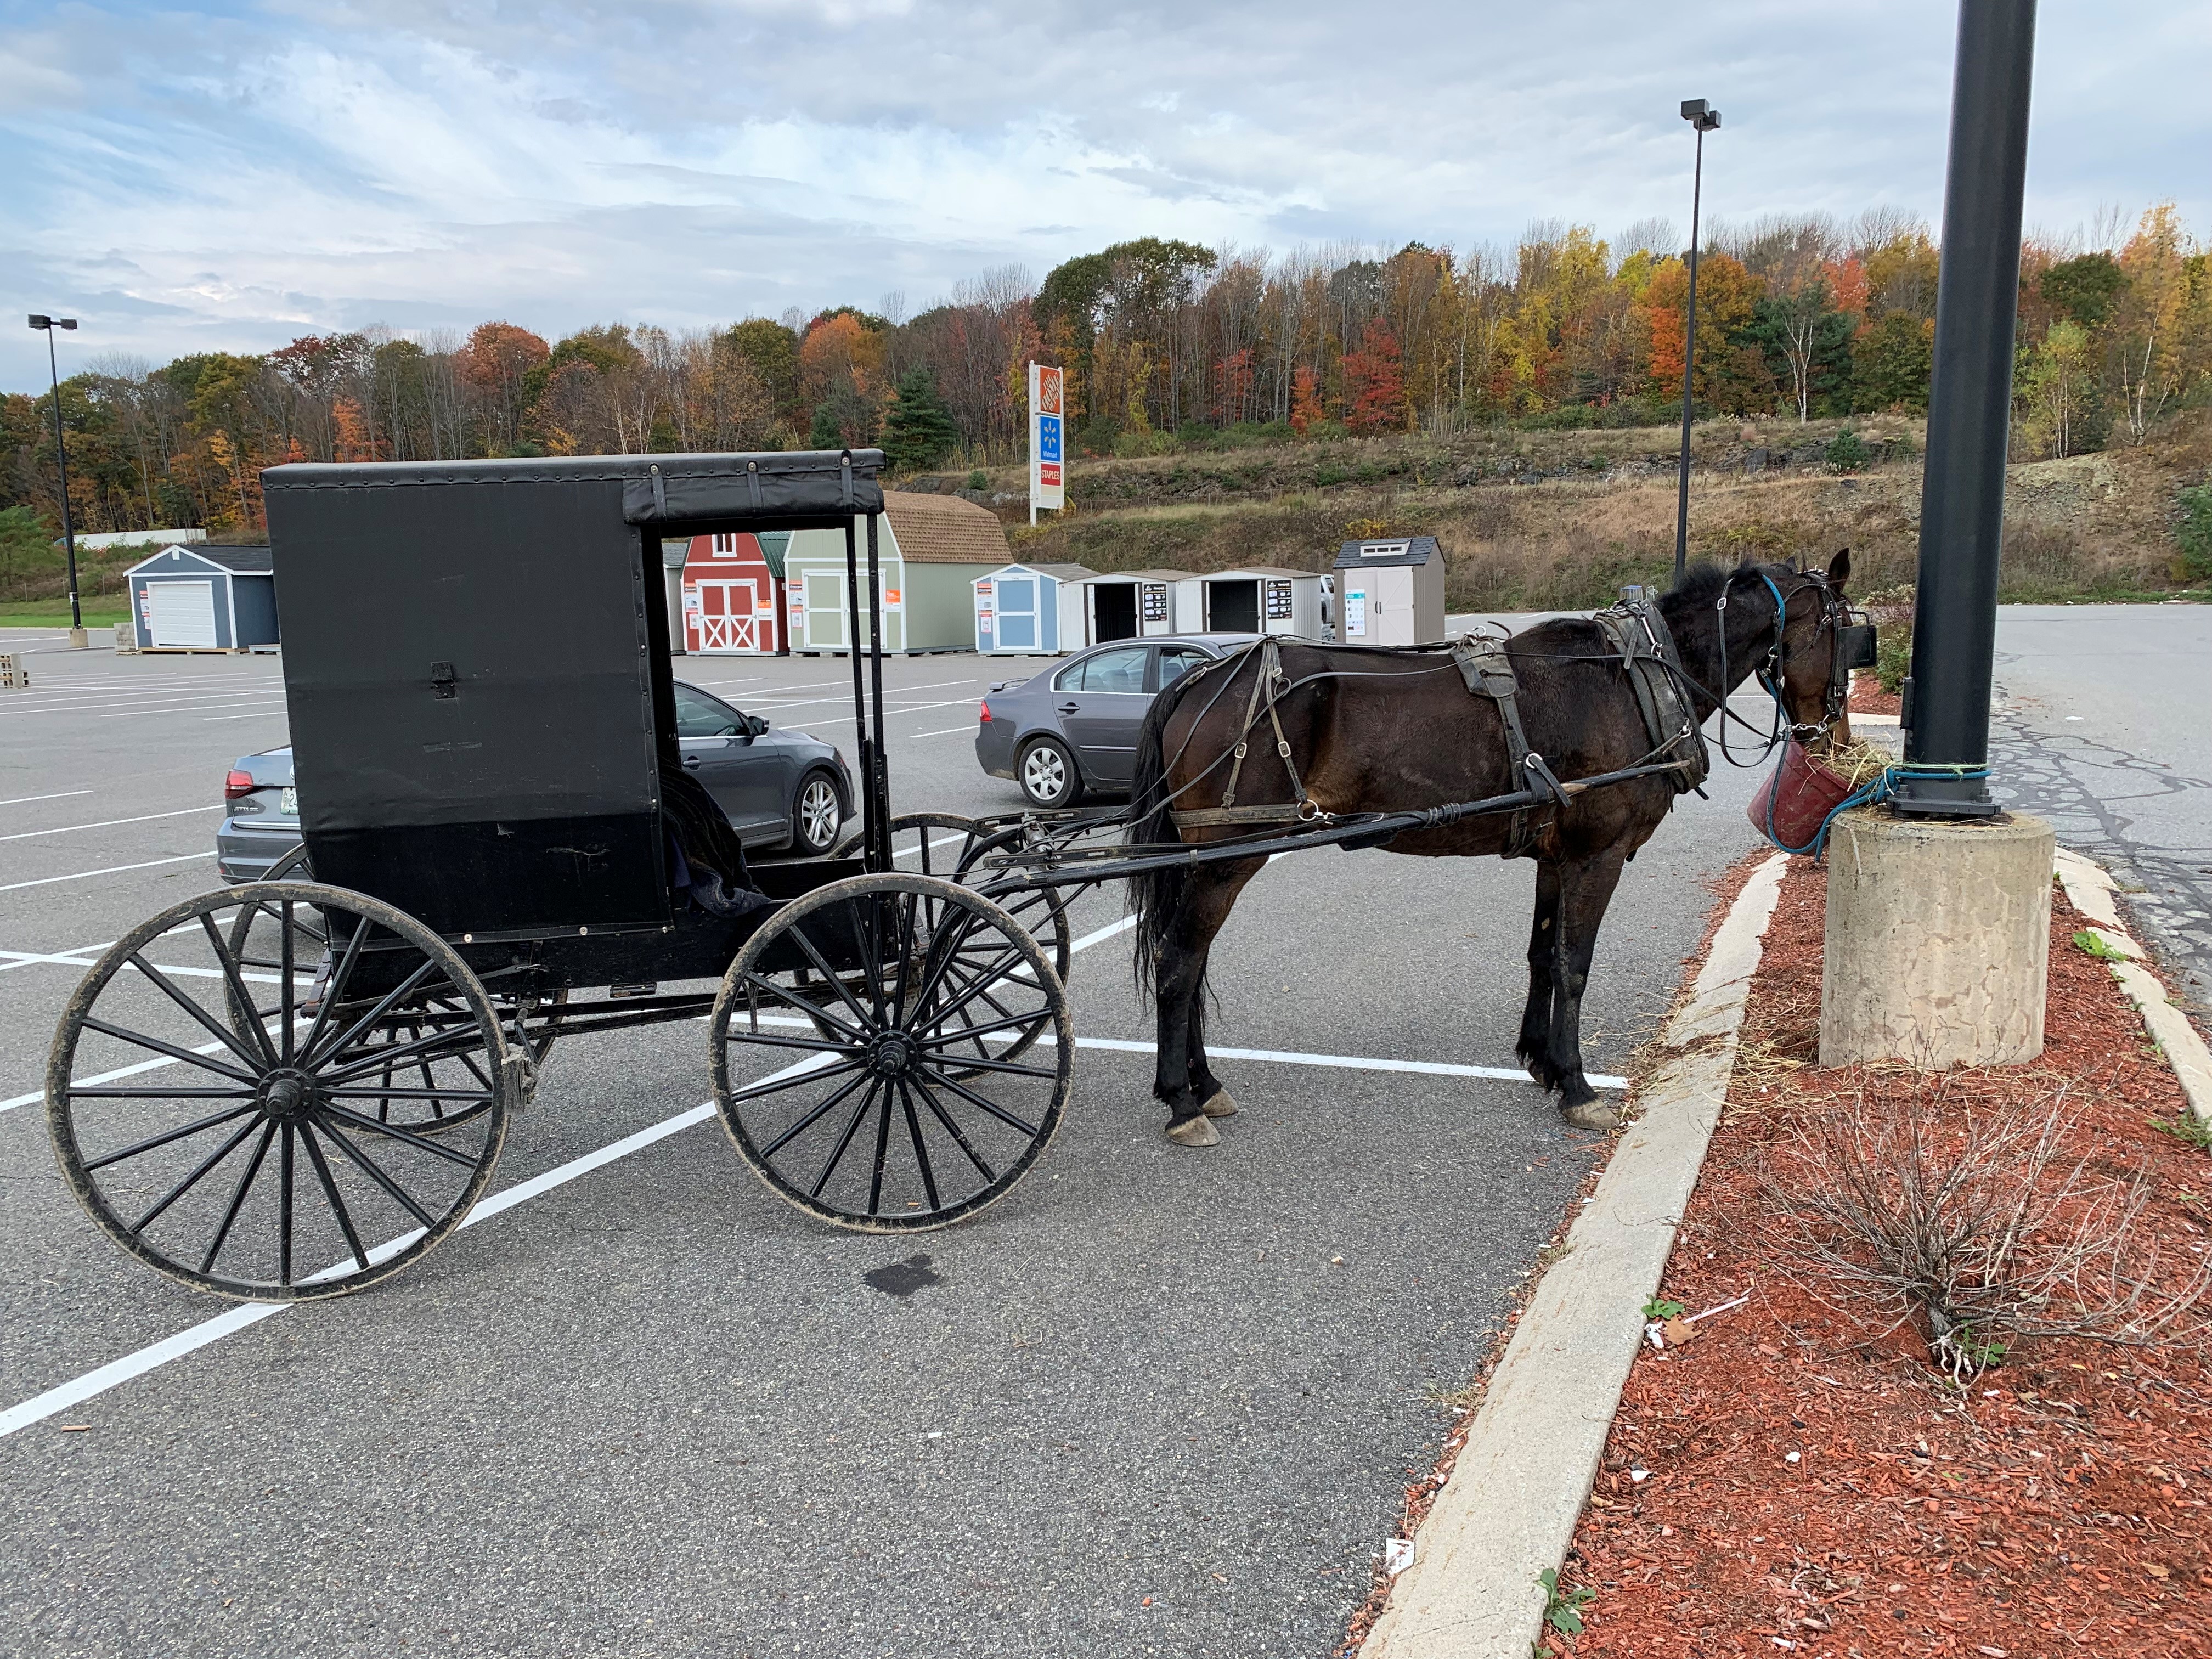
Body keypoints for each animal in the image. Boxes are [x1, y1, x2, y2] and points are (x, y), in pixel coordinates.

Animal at [1132, 555, 1858, 1141]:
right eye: (1847, 634)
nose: (1835, 737)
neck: (1634, 679)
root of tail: (1201, 679)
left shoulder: (1556, 858)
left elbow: (1542, 957)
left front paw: (1542, 1060)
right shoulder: (1596, 855)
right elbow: (1573, 965)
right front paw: (1577, 1085)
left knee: (1191, 962)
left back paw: (1203, 1084)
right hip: (1227, 857)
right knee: (1179, 963)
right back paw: (1181, 1101)